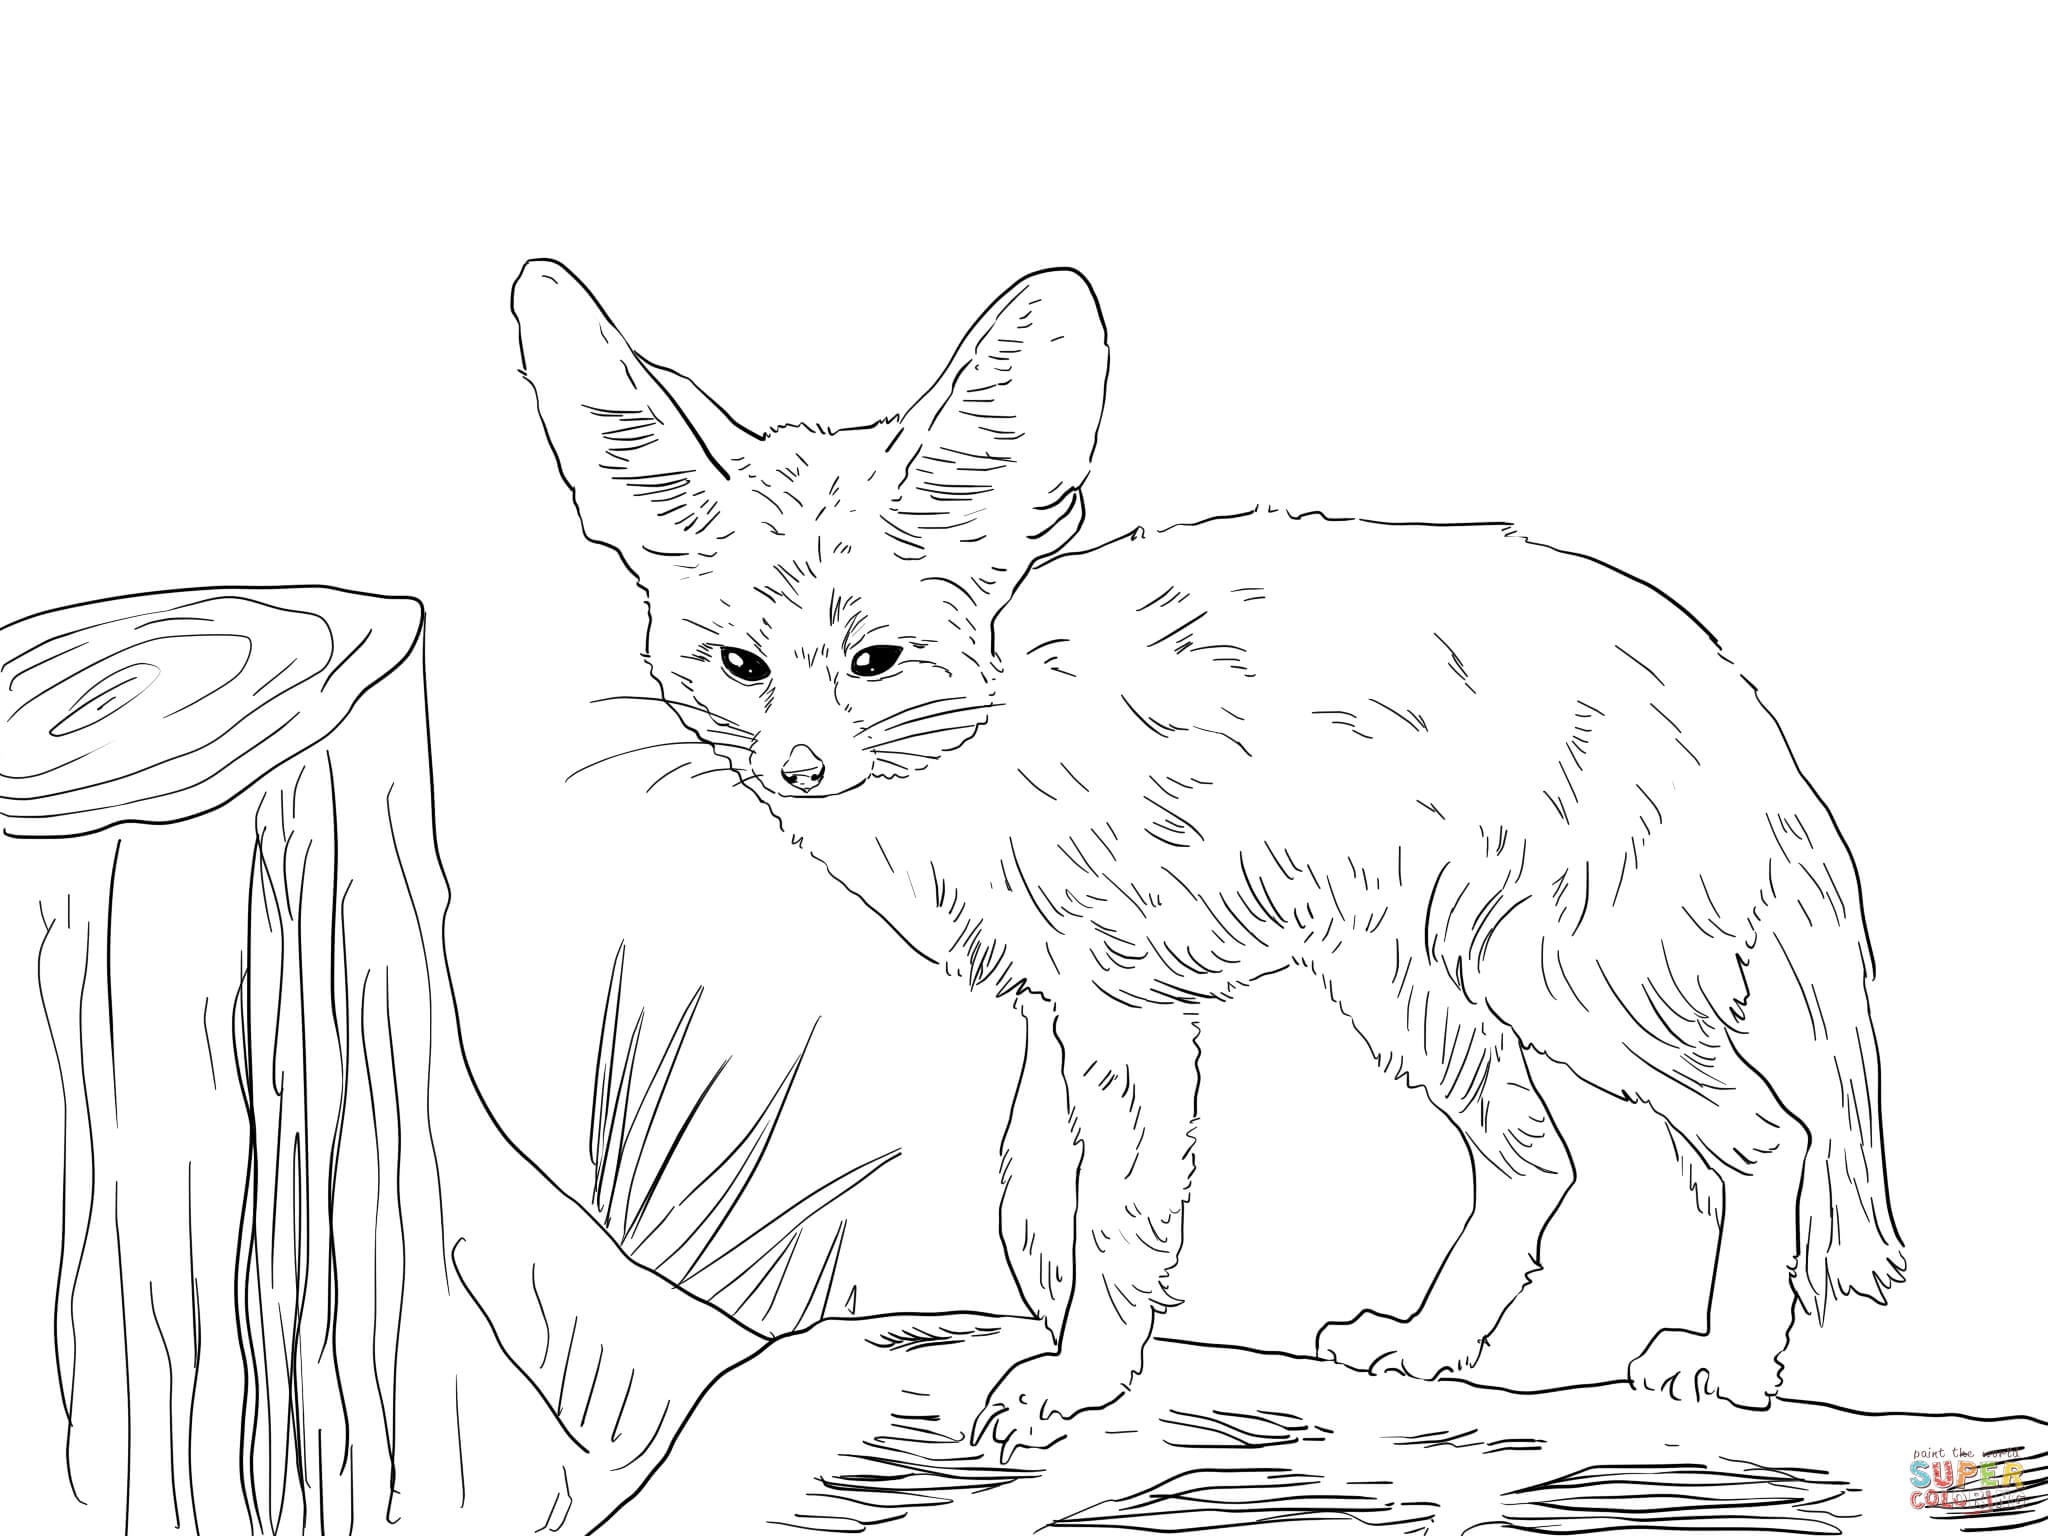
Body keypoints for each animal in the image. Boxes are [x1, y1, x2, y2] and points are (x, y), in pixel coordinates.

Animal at [511, 259, 1903, 1453]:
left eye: (877, 661)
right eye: (739, 666)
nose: (797, 769)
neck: (986, 751)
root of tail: (1729, 694)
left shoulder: (1124, 1010)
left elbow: (1114, 1210)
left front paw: (1078, 1379)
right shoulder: (1056, 1005)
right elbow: (1032, 1194)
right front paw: (1071, 1336)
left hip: (1566, 990)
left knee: (1768, 1137)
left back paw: (1729, 1367)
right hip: (1411, 998)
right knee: (1536, 1155)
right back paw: (1431, 1343)